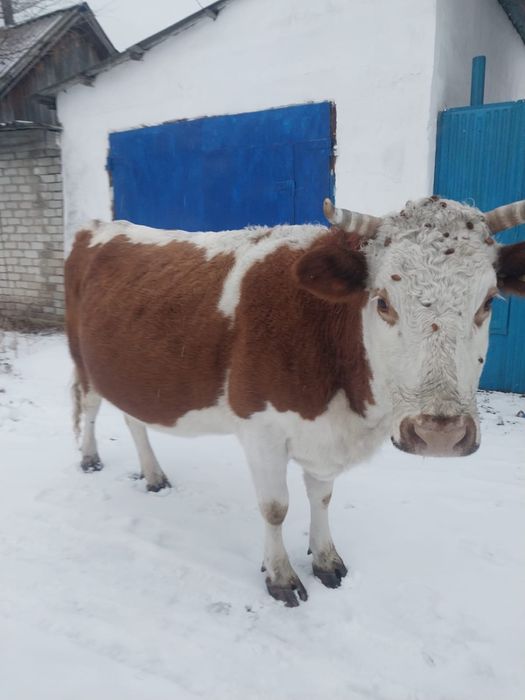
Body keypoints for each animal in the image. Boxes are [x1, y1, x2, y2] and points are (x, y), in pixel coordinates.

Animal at [65, 196, 525, 606]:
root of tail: (97, 226)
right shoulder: (260, 431)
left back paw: (153, 474)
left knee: (133, 419)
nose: (439, 433)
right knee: (89, 407)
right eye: (382, 301)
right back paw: (89, 458)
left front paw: (325, 560)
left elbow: (321, 497)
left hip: (126, 371)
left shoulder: (324, 437)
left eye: (487, 302)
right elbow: (275, 508)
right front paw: (280, 577)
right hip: (83, 360)